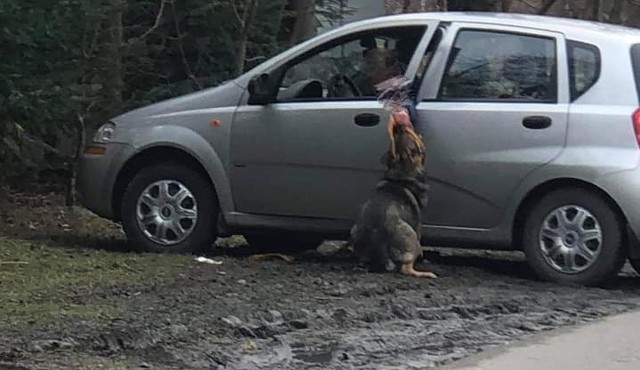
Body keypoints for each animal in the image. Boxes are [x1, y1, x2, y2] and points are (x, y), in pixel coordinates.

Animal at [348, 107, 438, 278]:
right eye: (412, 133)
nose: (400, 126)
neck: (401, 174)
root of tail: (378, 241)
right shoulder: (418, 225)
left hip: (354, 230)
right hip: (411, 238)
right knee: (405, 268)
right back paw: (425, 273)